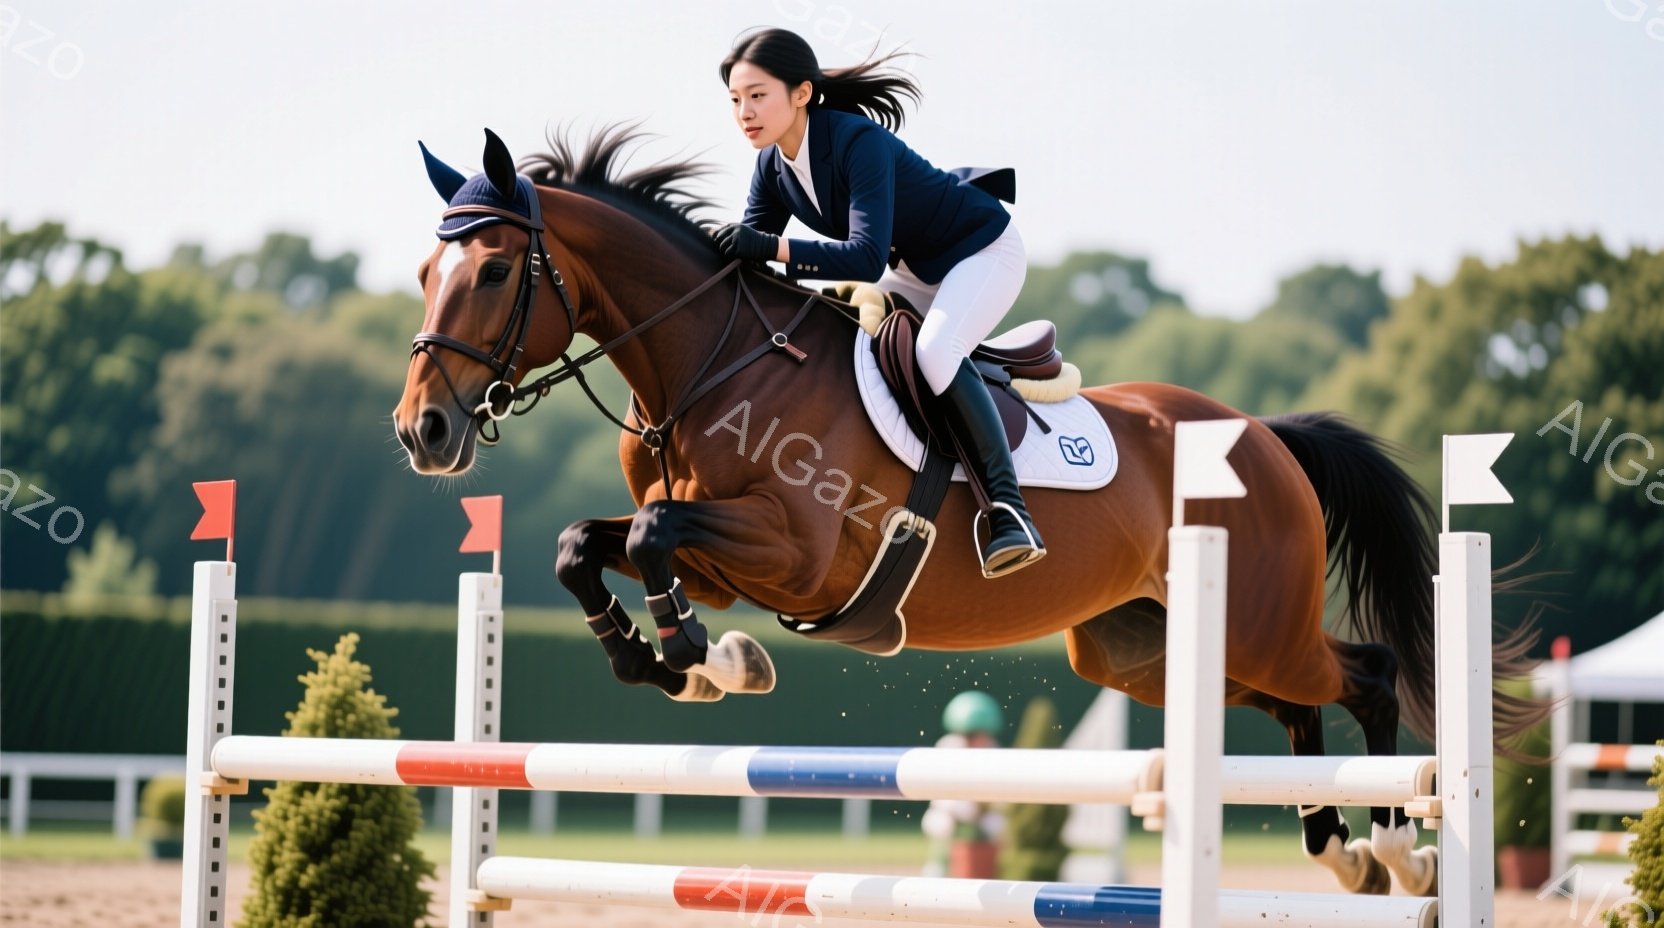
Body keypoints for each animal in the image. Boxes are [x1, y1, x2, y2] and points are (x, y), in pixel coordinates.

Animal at [392, 127, 1546, 897]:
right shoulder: (726, 557)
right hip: (1148, 651)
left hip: (1255, 622)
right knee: (1301, 705)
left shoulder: (795, 549)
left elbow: (647, 535)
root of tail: (1263, 433)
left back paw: (1394, 845)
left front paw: (698, 658)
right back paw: (1335, 845)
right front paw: (681, 661)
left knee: (1367, 672)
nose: (423, 432)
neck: (711, 359)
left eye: (493, 270)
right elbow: (583, 545)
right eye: (423, 269)